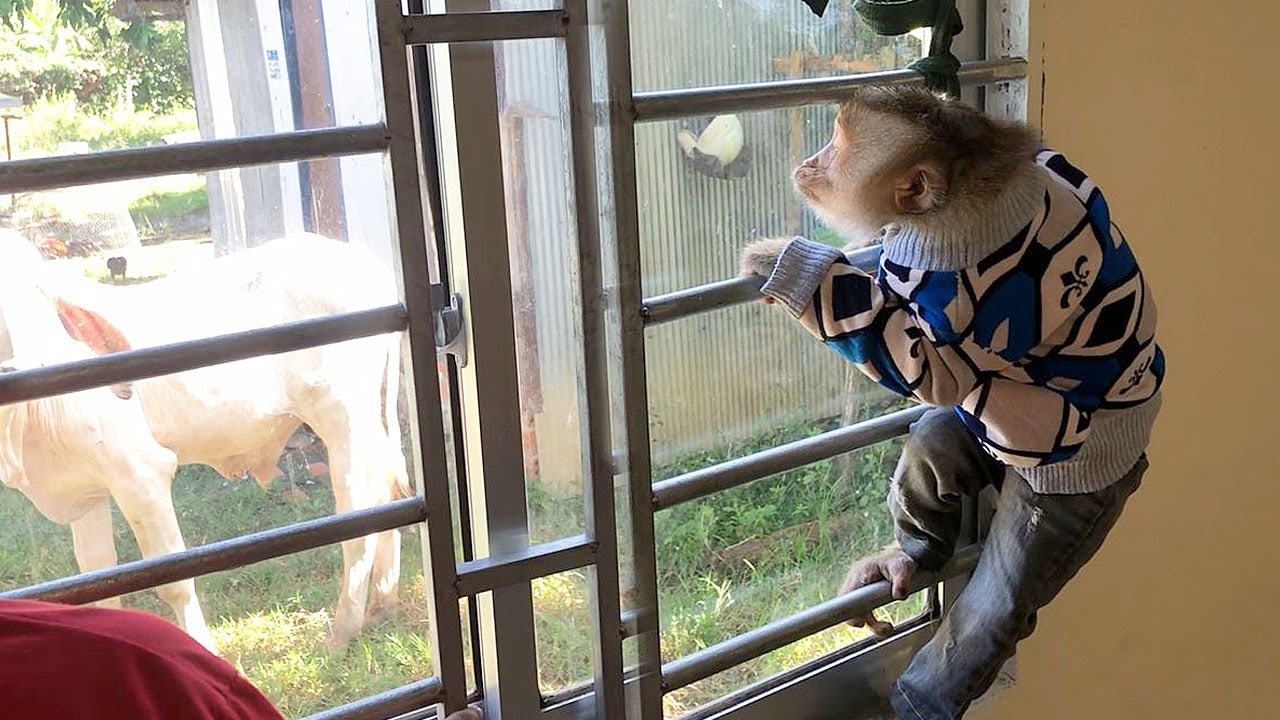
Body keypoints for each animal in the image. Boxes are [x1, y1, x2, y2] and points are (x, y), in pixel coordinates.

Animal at [0, 231, 412, 649]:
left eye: (36, 299)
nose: (25, 366)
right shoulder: (86, 488)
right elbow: (99, 575)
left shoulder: (142, 474)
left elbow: (174, 580)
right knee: (386, 492)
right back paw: (383, 604)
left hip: (343, 417)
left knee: (359, 512)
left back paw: (343, 631)